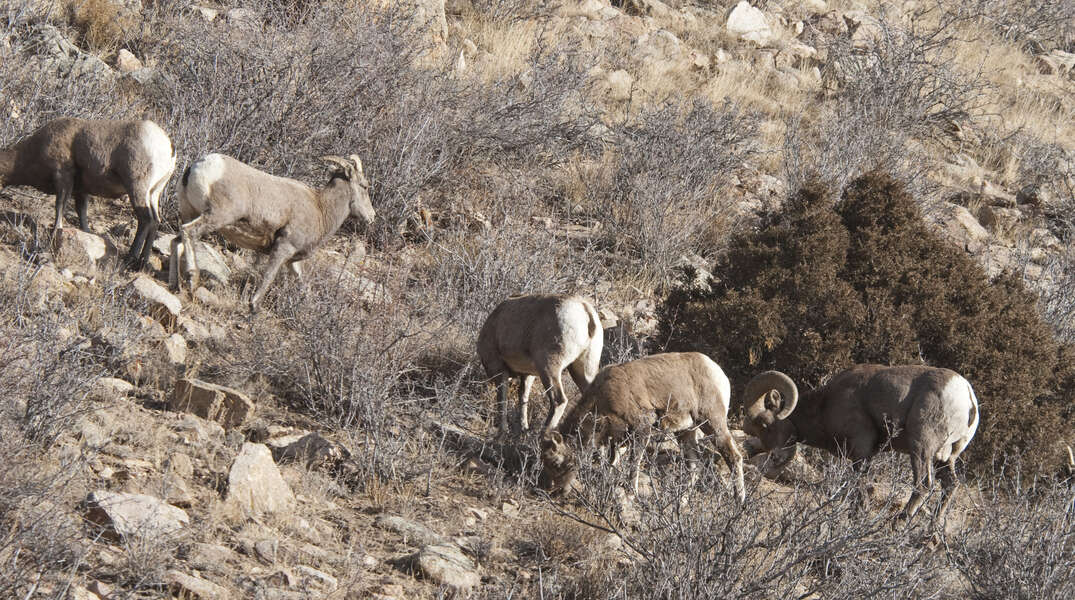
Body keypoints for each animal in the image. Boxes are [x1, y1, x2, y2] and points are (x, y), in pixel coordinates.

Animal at [0, 117, 176, 267]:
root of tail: (168, 147)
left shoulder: (63, 177)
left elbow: (60, 206)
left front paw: (56, 231)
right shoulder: (81, 191)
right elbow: (82, 213)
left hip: (137, 188)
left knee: (146, 219)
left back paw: (130, 259)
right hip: (153, 193)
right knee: (155, 221)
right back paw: (142, 262)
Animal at [172, 152, 378, 311]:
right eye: (365, 186)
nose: (372, 216)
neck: (321, 209)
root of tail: (199, 166)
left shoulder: (291, 261)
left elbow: (303, 284)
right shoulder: (283, 248)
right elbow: (269, 276)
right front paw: (253, 305)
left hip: (190, 213)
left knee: (176, 241)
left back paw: (175, 285)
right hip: (216, 217)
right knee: (189, 233)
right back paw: (192, 280)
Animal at [479, 294, 606, 436]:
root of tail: (586, 311)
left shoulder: (499, 368)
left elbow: (502, 399)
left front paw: (502, 434)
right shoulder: (528, 375)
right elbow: (523, 397)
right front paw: (523, 428)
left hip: (548, 367)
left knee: (559, 401)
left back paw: (542, 435)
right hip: (583, 369)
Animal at [541, 352, 743, 503]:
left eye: (556, 463)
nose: (553, 491)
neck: (604, 397)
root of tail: (719, 374)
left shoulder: (641, 430)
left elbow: (634, 462)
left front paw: (631, 493)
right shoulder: (618, 439)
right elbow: (613, 462)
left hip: (712, 423)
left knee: (733, 457)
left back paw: (739, 501)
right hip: (686, 432)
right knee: (694, 466)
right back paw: (682, 502)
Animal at [743, 365, 980, 520]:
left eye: (764, 424)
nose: (775, 457)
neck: (826, 404)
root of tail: (966, 396)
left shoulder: (861, 450)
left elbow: (860, 484)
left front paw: (859, 516)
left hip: (921, 449)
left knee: (923, 485)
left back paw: (899, 523)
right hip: (945, 457)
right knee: (950, 485)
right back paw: (931, 538)